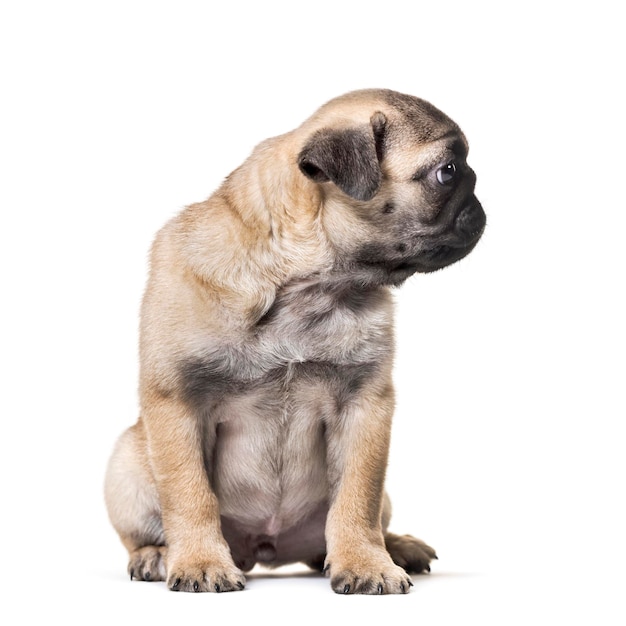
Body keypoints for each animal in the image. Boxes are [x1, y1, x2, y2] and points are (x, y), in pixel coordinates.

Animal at [103, 89, 482, 596]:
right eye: (448, 171)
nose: (481, 202)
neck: (307, 286)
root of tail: (266, 551)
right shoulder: (177, 402)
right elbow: (189, 494)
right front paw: (201, 562)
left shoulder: (365, 408)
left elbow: (356, 497)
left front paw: (365, 562)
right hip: (128, 461)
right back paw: (156, 556)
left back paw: (395, 547)